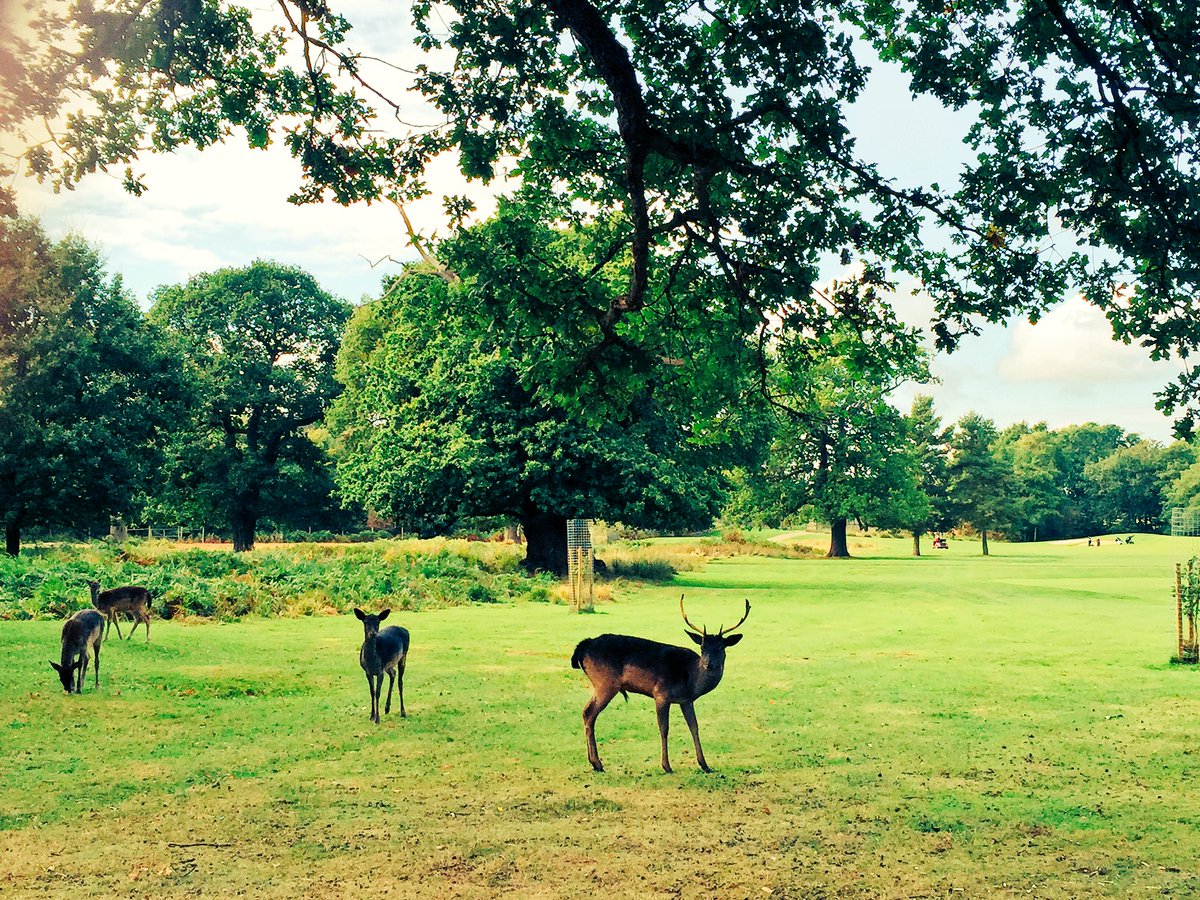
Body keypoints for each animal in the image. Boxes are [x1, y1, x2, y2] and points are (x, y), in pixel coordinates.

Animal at [571, 595, 750, 774]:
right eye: (702, 647)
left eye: (721, 647)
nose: (709, 665)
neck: (691, 680)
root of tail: (583, 647)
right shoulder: (661, 694)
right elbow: (664, 728)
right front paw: (666, 765)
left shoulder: (686, 700)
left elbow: (694, 727)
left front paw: (705, 765)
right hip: (606, 683)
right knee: (589, 713)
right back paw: (597, 763)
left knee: (586, 712)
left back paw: (594, 762)